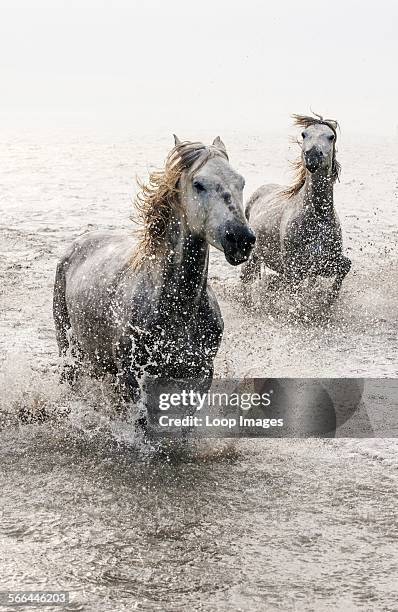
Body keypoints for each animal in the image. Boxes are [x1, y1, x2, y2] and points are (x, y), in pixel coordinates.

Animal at [241, 115, 350, 298]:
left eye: (331, 137)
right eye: (304, 134)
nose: (312, 155)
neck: (317, 217)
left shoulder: (324, 262)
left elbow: (345, 266)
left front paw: (330, 298)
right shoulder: (294, 270)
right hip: (253, 256)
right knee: (246, 278)